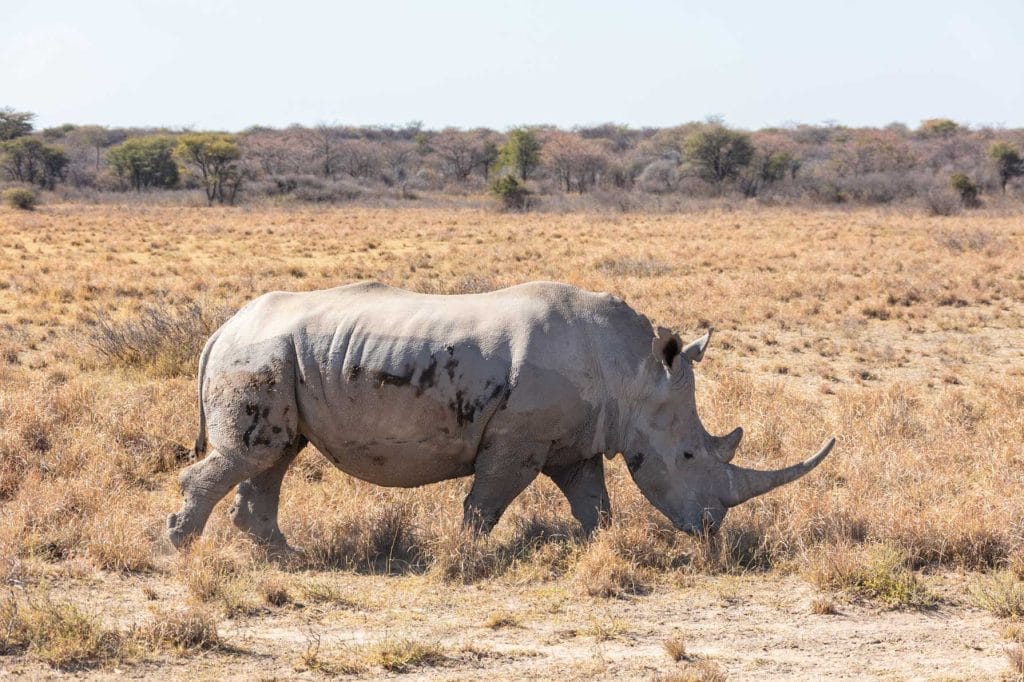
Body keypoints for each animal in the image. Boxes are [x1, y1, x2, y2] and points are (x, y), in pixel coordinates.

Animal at [167, 281, 834, 551]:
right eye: (690, 455)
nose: (710, 530)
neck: (634, 372)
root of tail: (220, 328)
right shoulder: (520, 439)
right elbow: (487, 499)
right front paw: (465, 555)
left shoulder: (576, 441)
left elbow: (593, 500)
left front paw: (604, 548)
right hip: (259, 353)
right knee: (252, 454)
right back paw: (182, 548)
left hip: (279, 356)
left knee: (275, 453)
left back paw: (283, 555)